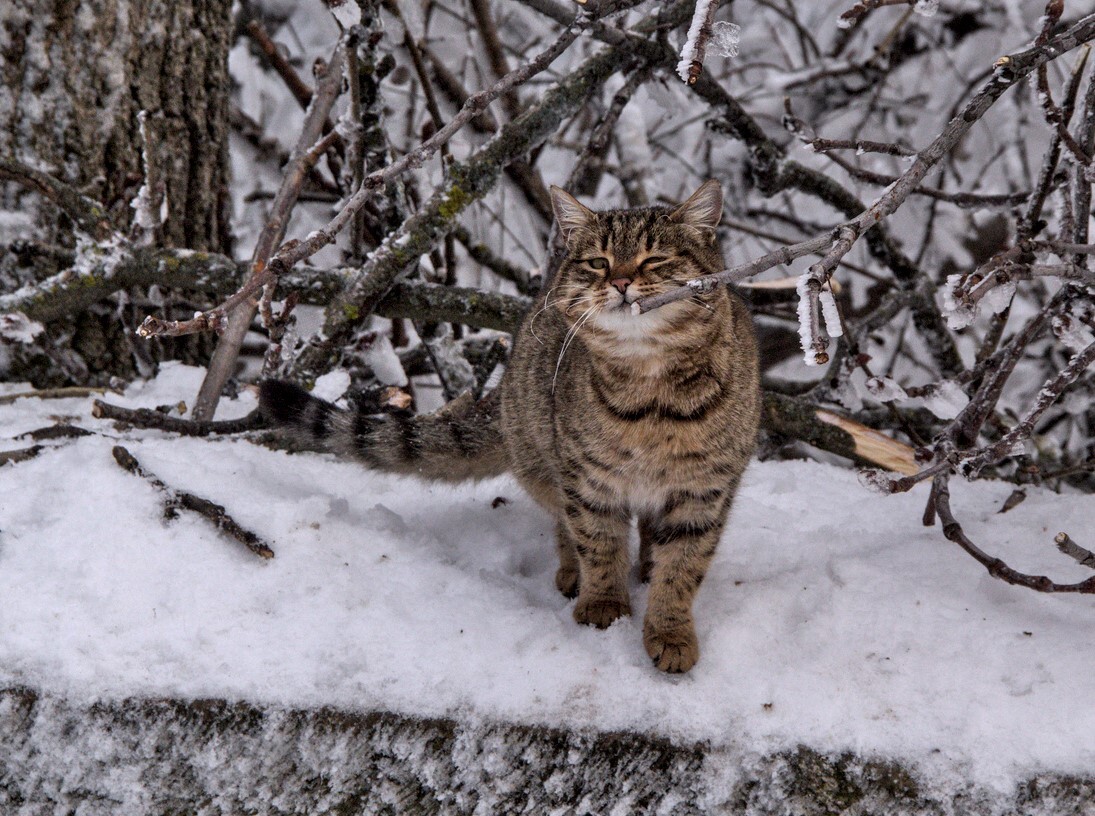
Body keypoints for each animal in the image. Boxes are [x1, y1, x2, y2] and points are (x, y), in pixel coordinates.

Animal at [262, 181, 762, 670]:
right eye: (598, 262)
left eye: (653, 259)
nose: (620, 281)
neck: (651, 394)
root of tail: (500, 394)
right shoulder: (587, 481)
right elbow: (599, 544)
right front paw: (603, 603)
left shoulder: (705, 490)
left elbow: (682, 567)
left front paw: (670, 630)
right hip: (542, 462)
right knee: (567, 525)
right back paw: (574, 573)